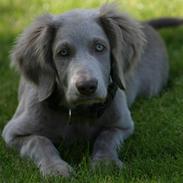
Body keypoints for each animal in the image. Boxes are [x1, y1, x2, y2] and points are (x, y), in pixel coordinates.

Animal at [1, 4, 182, 177]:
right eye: (63, 52)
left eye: (100, 47)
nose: (87, 86)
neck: (78, 112)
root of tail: (146, 23)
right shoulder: (12, 133)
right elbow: (40, 142)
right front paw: (55, 169)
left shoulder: (123, 125)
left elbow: (106, 138)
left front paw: (106, 163)